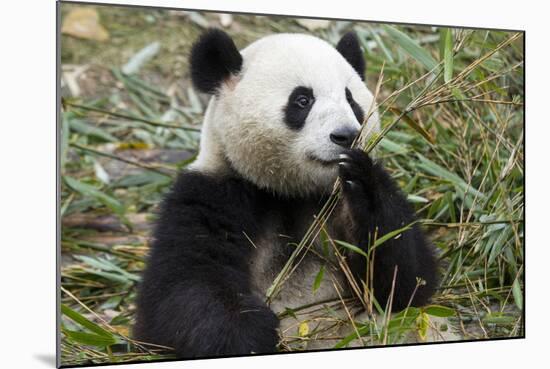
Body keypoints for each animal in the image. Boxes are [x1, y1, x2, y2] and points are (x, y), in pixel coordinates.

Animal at [137, 28, 440, 356]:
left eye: (351, 99)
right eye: (302, 99)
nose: (346, 135)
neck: (289, 192)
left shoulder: (330, 205)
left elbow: (404, 281)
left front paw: (363, 180)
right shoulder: (214, 195)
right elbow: (181, 290)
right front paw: (252, 330)